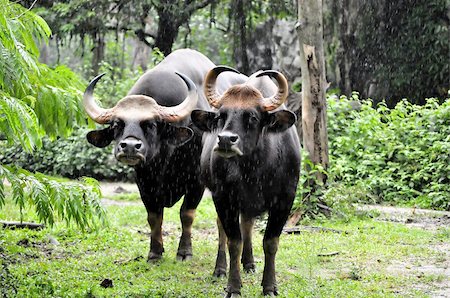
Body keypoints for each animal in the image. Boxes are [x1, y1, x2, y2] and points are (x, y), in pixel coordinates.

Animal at [83, 50, 248, 262]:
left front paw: (184, 251)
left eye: (151, 124)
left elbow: (187, 214)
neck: (165, 160)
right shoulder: (144, 181)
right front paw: (155, 252)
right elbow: (154, 217)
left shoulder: (196, 181)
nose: (130, 147)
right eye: (117, 125)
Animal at [190, 66, 298, 296]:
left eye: (253, 117)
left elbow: (270, 242)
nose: (225, 140)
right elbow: (234, 242)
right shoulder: (223, 198)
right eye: (221, 116)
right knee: (223, 227)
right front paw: (233, 286)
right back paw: (220, 268)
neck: (255, 169)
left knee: (247, 223)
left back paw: (249, 263)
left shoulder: (285, 200)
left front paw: (269, 286)